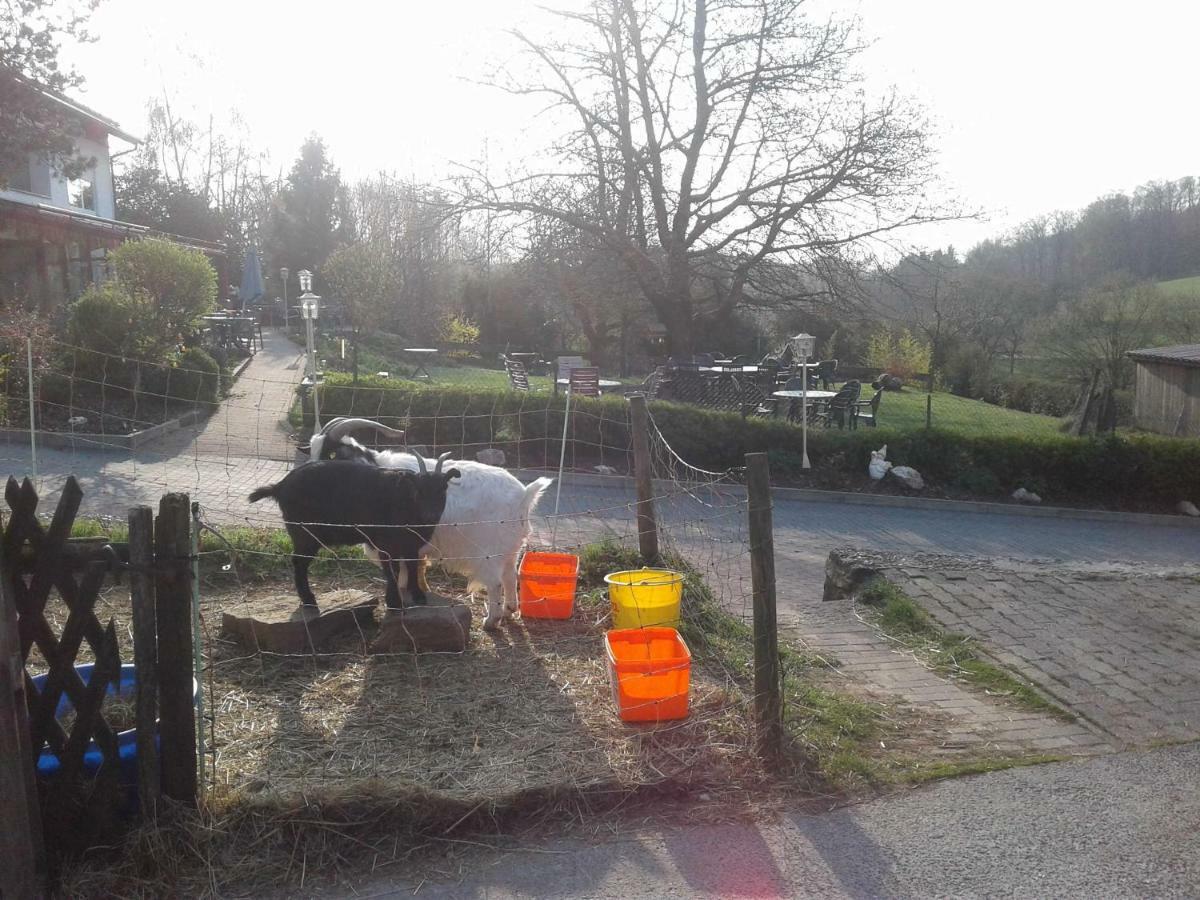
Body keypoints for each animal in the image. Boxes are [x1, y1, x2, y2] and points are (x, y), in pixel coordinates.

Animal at [247, 458, 458, 614]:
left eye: (443, 488)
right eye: (418, 490)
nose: (430, 515)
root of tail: (280, 486)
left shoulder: (411, 543)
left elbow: (412, 566)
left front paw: (418, 596)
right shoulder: (385, 542)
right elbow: (393, 570)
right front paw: (395, 603)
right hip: (305, 534)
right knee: (299, 562)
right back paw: (309, 601)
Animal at [307, 420, 554, 628]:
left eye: (331, 454)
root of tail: (524, 495)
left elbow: (402, 575)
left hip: (487, 553)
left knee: (495, 583)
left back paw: (490, 622)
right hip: (510, 549)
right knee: (511, 575)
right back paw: (510, 610)